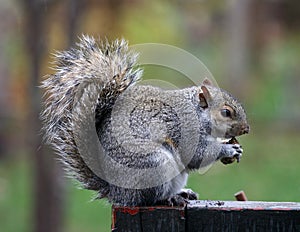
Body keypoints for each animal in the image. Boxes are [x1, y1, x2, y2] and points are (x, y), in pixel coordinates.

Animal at [41, 35, 250, 206]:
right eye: (226, 112)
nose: (246, 129)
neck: (197, 112)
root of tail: (116, 192)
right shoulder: (185, 128)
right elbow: (197, 154)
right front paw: (228, 149)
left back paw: (182, 193)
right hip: (154, 165)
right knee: (148, 199)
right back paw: (169, 198)